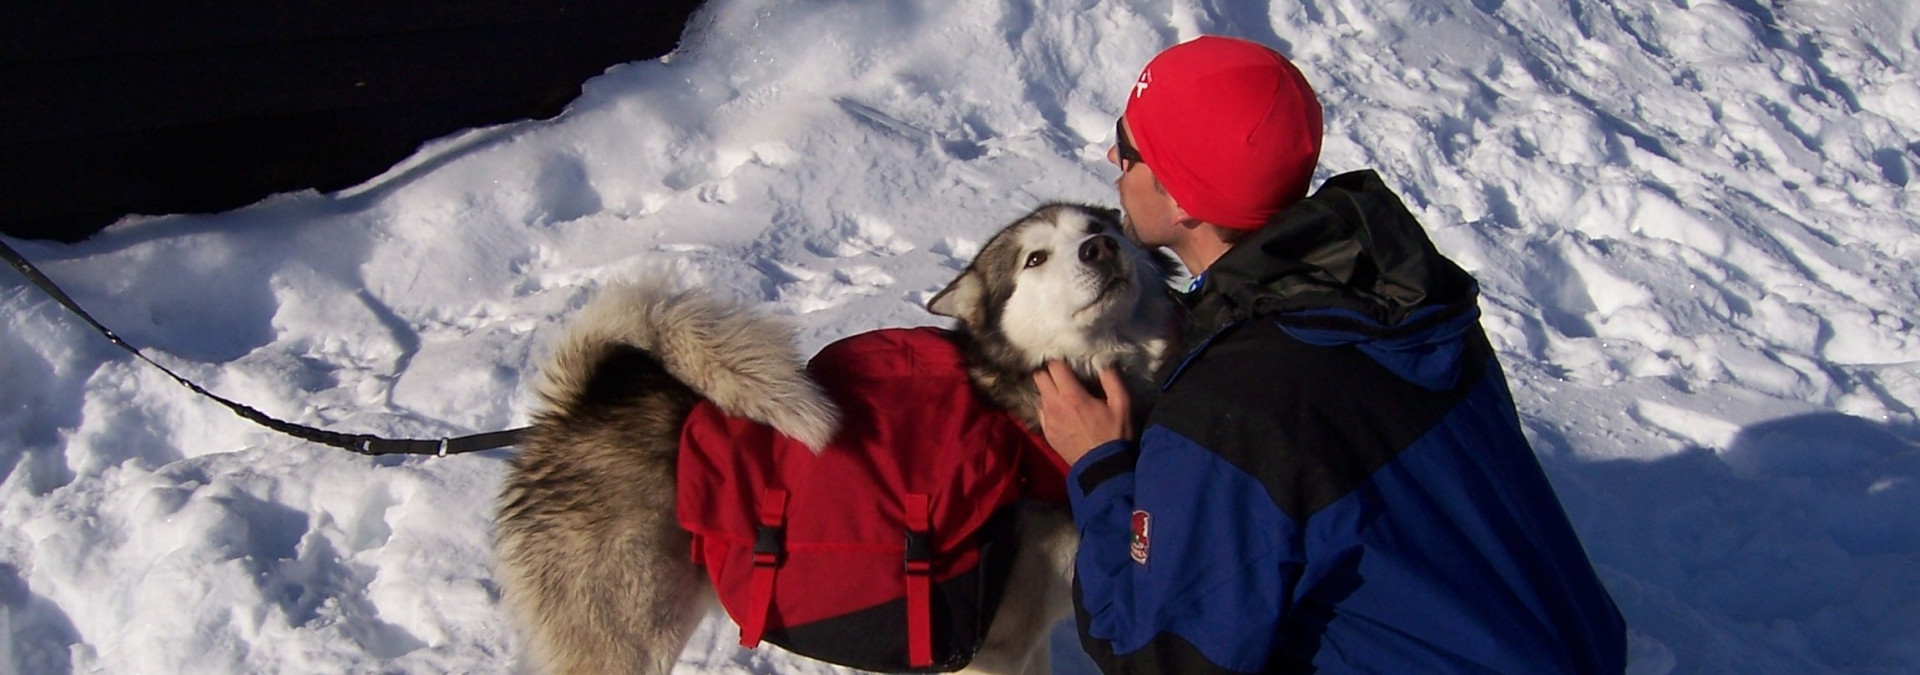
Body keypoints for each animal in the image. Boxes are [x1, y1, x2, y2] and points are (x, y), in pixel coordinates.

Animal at [495, 204, 1175, 675]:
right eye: (1035, 259)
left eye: (1097, 225)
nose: (1100, 246)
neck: (1016, 417)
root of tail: (574, 408)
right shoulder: (992, 651)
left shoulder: (1024, 642)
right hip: (628, 640)